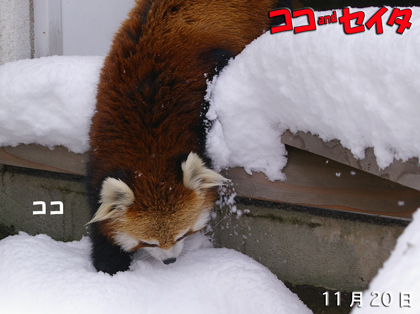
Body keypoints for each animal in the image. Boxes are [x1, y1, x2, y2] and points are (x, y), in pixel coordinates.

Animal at [86, 0, 284, 274]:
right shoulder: (101, 150)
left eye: (183, 234)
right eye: (148, 242)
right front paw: (109, 265)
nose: (170, 260)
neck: (149, 147)